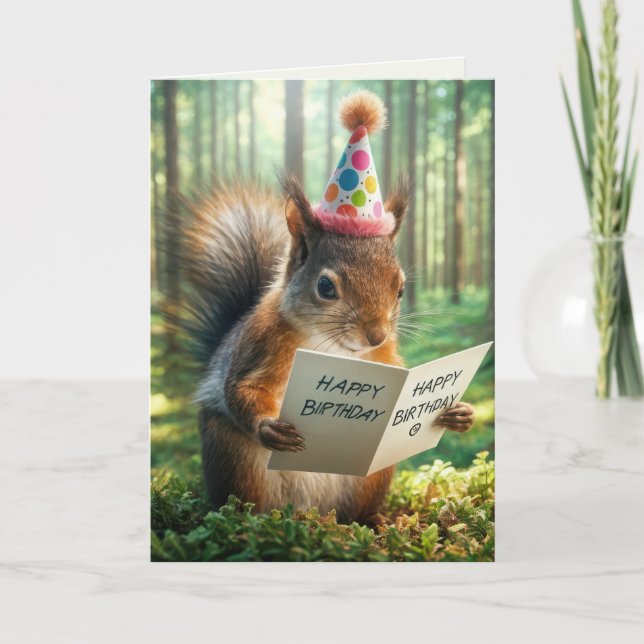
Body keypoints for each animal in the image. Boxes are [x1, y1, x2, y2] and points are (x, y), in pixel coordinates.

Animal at [182, 90, 475, 525]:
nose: (376, 335)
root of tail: (312, 511)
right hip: (233, 460)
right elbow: (242, 390)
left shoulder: (385, 358)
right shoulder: (259, 344)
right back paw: (251, 520)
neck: (334, 349)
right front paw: (270, 426)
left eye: (401, 289)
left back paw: (373, 520)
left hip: (373, 475)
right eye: (324, 287)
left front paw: (457, 412)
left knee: (359, 509)